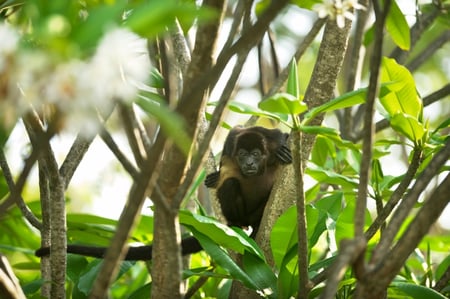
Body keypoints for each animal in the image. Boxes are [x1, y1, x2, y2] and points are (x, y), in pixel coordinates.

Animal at [36, 126, 292, 260]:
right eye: (243, 155)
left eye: (256, 154)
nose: (249, 163)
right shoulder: (235, 143)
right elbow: (232, 138)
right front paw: (217, 175)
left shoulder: (269, 138)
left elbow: (281, 136)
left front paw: (284, 149)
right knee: (230, 186)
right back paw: (237, 224)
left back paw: (256, 227)